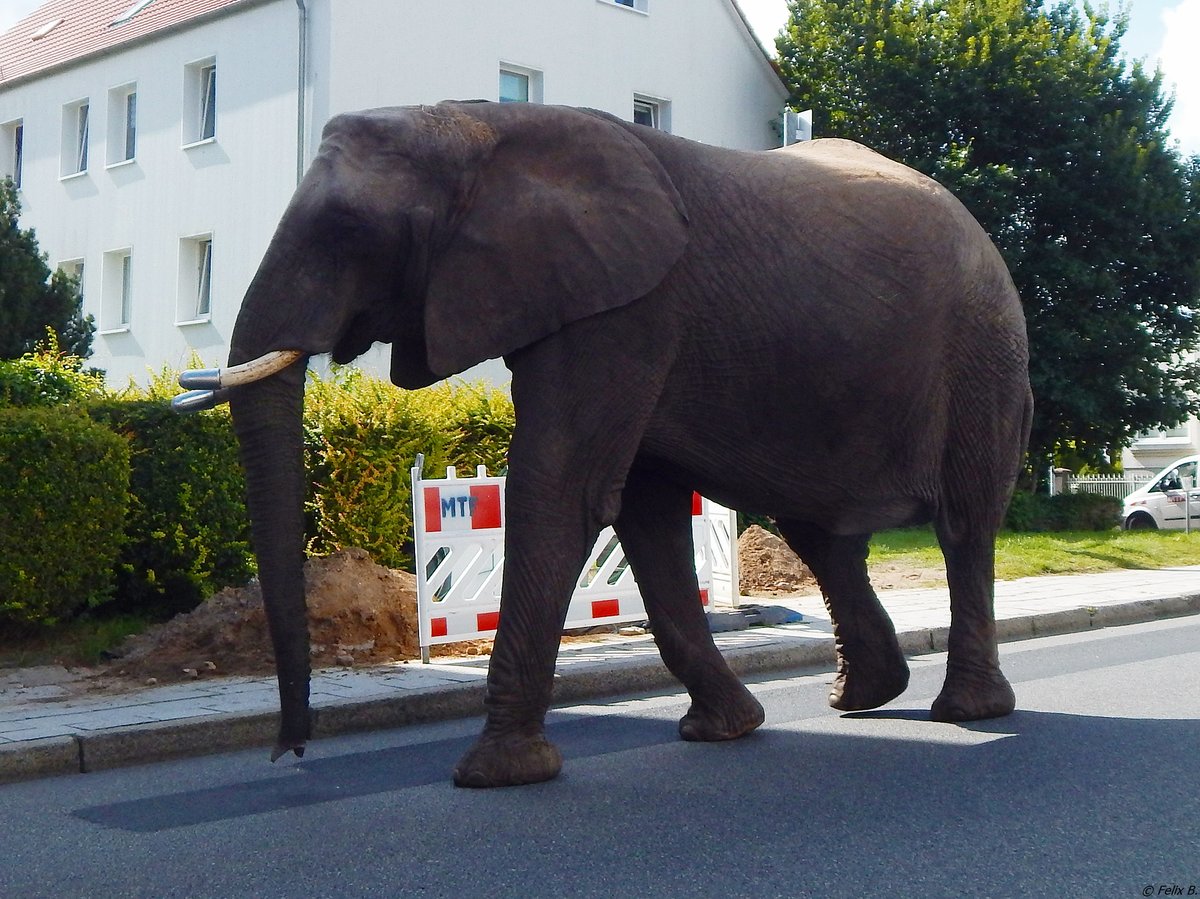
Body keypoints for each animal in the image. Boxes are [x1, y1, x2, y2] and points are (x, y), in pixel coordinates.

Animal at [175, 100, 1032, 787]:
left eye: (351, 232)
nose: (291, 752)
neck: (468, 123)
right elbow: (643, 514)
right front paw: (721, 732)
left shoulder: (628, 310)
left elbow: (560, 488)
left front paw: (496, 775)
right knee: (821, 536)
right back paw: (862, 698)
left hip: (983, 356)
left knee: (962, 525)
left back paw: (967, 710)